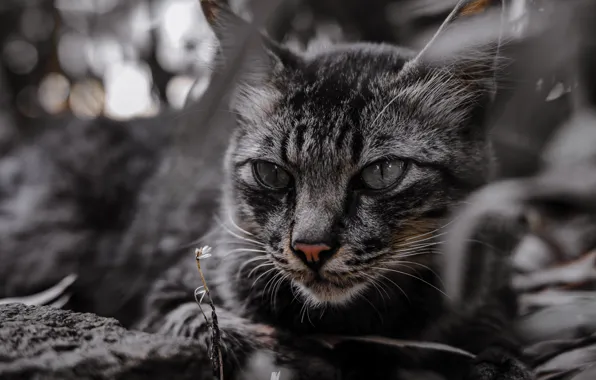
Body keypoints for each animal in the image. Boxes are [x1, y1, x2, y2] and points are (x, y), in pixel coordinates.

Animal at [136, 0, 536, 380]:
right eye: (272, 173)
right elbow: (209, 327)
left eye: (382, 172)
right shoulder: (164, 299)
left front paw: (499, 364)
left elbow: (492, 328)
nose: (311, 248)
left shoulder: (492, 282)